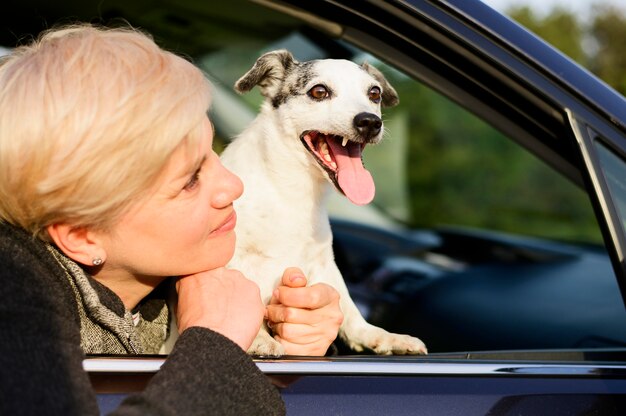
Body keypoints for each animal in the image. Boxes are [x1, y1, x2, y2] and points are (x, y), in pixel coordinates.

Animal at [219, 48, 424, 354]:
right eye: (319, 92)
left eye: (374, 93)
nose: (370, 122)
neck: (292, 191)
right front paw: (258, 338)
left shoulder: (324, 265)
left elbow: (348, 306)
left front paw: (380, 336)